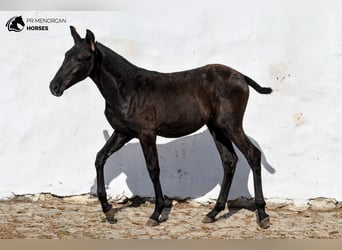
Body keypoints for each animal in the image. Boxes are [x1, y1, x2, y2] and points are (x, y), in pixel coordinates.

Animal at [49, 25, 272, 229]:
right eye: (66, 55)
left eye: (83, 57)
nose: (54, 87)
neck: (128, 89)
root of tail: (242, 77)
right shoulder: (122, 133)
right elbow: (100, 158)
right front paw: (108, 210)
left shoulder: (146, 134)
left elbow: (153, 169)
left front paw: (156, 213)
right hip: (217, 128)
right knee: (229, 161)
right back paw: (213, 212)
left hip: (231, 126)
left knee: (252, 155)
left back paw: (262, 215)